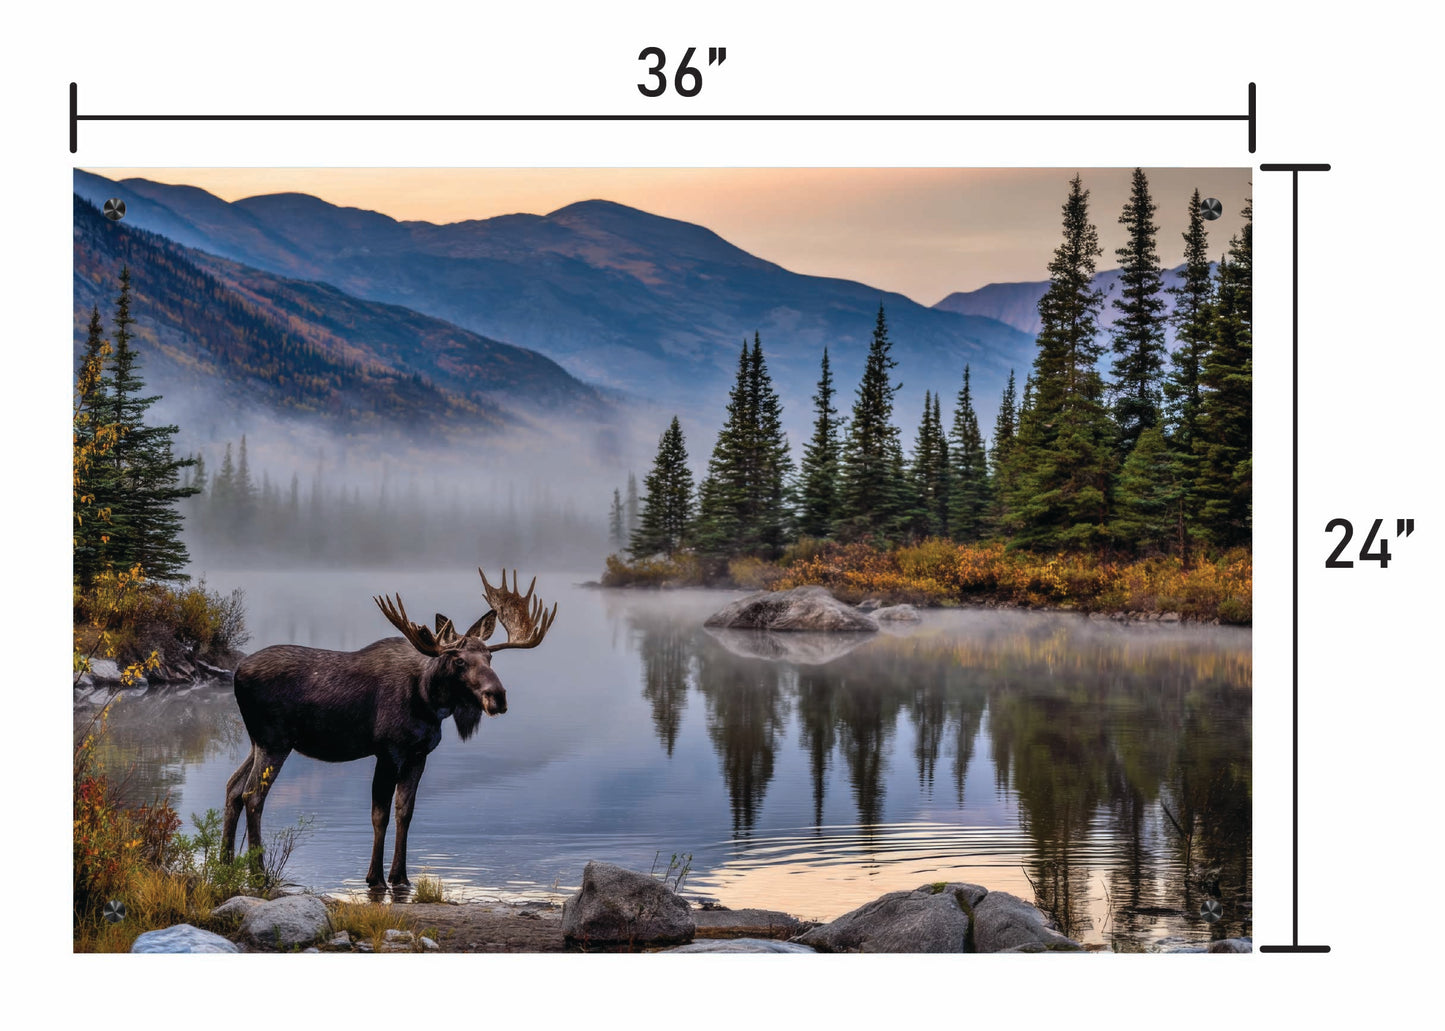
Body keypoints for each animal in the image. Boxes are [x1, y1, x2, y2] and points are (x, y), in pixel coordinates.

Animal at [222, 569, 556, 888]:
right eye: (459, 661)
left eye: (489, 657)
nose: (497, 696)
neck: (428, 700)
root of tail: (236, 673)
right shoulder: (388, 751)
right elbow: (379, 814)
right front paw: (375, 878)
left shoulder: (419, 754)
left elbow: (404, 812)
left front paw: (401, 876)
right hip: (274, 741)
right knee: (252, 795)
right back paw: (258, 874)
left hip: (258, 741)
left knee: (233, 787)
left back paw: (225, 864)